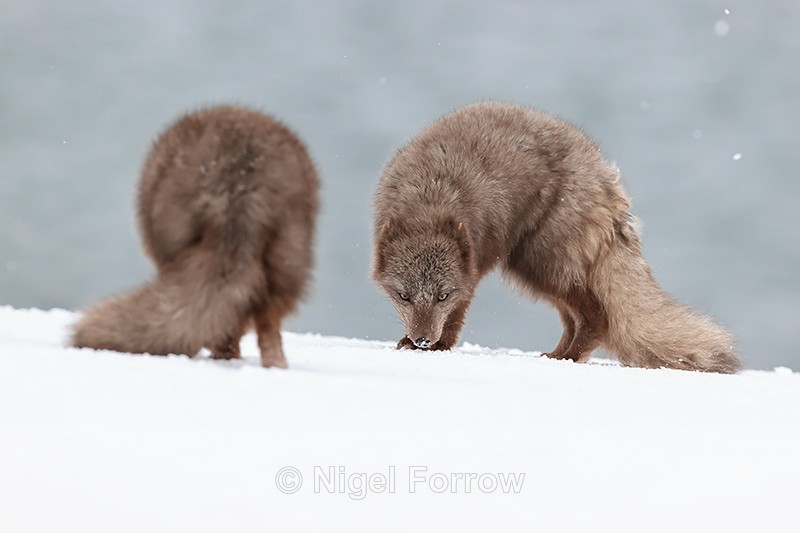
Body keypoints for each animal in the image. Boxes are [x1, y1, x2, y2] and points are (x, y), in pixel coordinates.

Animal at [372, 101, 740, 373]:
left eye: (442, 297)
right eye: (404, 297)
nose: (422, 340)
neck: (432, 198)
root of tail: (608, 181)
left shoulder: (470, 274)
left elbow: (457, 315)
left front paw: (441, 346)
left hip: (540, 264)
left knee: (597, 317)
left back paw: (569, 358)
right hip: (546, 270)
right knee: (574, 319)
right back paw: (557, 355)